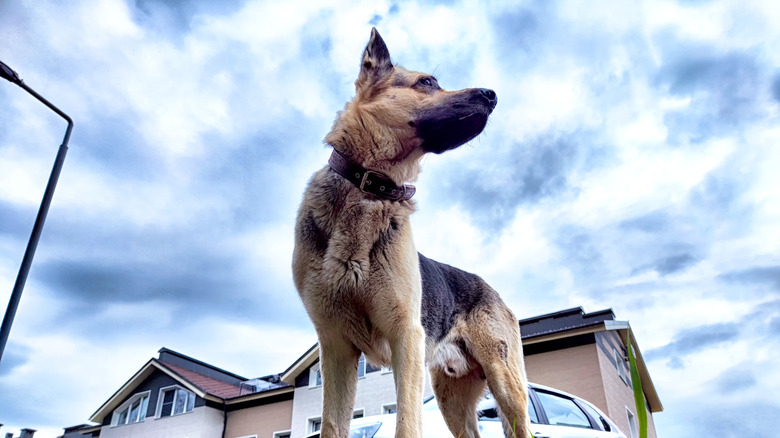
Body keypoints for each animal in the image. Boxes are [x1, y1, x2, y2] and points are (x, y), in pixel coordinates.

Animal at [292, 28, 532, 438]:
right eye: (426, 82)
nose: (492, 95)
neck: (370, 187)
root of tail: (494, 291)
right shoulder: (336, 348)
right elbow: (333, 425)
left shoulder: (406, 339)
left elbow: (406, 423)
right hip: (453, 401)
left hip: (505, 383)